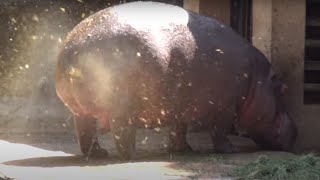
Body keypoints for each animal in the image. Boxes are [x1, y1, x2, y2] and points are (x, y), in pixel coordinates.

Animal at [55, 1, 298, 159]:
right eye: (285, 89)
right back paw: (132, 155)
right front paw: (232, 150)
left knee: (86, 132)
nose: (296, 131)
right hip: (122, 106)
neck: (256, 79)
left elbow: (178, 129)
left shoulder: (180, 106)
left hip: (80, 110)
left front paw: (182, 150)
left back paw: (99, 153)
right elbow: (219, 131)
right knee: (121, 131)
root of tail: (72, 50)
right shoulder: (226, 107)